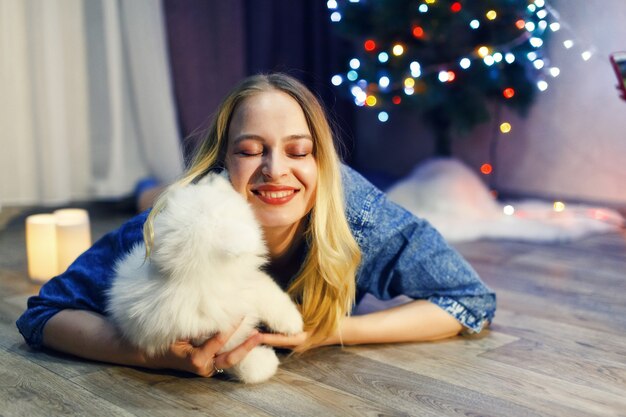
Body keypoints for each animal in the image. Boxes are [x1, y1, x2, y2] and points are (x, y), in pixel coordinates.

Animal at [106, 173, 302, 384]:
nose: (214, 173)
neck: (196, 279)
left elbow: (267, 291)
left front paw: (292, 322)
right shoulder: (213, 333)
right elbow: (238, 359)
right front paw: (264, 361)